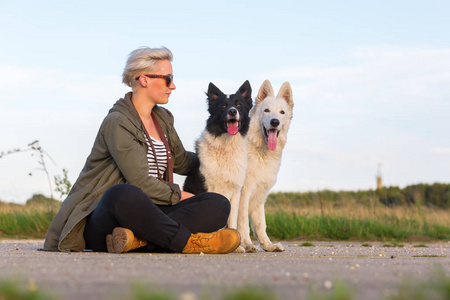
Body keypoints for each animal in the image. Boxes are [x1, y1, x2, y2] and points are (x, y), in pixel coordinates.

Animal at [237, 80, 294, 253]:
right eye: (266, 110)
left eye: (282, 112)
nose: (275, 122)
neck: (260, 152)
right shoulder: (243, 193)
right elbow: (242, 221)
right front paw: (247, 243)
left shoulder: (260, 196)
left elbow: (261, 224)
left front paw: (268, 245)